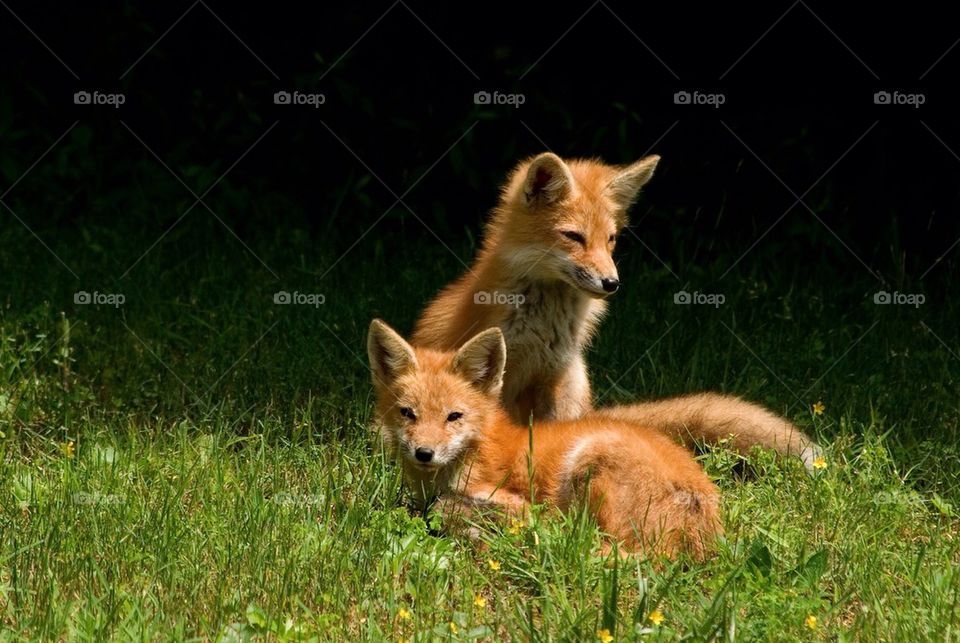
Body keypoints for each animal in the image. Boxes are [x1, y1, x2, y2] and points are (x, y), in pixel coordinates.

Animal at [368, 320, 720, 560]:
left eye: (454, 416)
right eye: (407, 413)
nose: (424, 453)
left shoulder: (511, 499)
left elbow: (444, 506)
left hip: (590, 459)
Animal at [412, 153, 816, 470]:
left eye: (611, 240)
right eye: (573, 237)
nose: (611, 283)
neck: (542, 323)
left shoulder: (553, 378)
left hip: (576, 384)